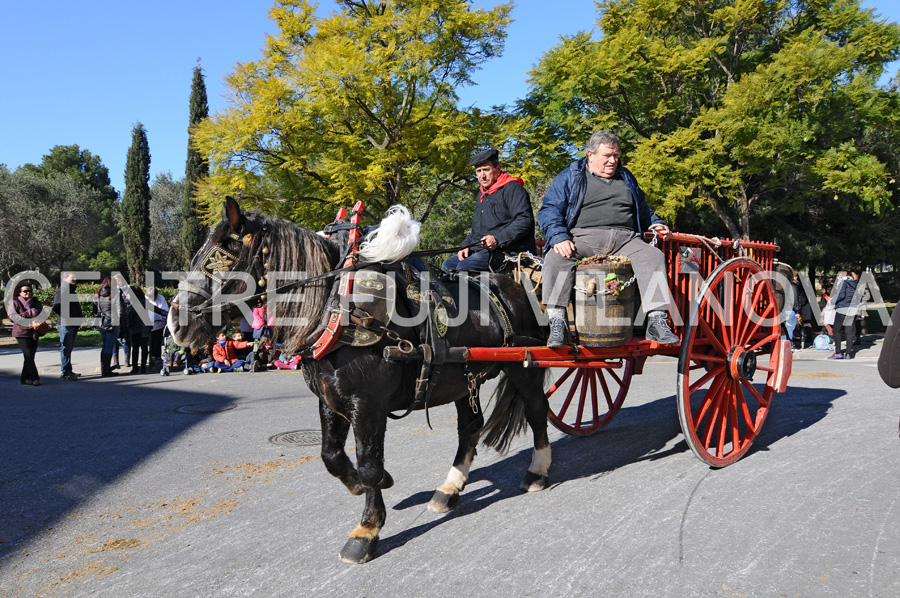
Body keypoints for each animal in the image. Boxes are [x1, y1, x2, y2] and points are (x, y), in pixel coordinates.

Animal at [167, 199, 548, 564]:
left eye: (219, 258)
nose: (175, 322)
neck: (335, 307)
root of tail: (513, 284)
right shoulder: (329, 397)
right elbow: (332, 455)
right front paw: (368, 486)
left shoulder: (367, 403)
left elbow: (368, 463)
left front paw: (366, 530)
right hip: (462, 378)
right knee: (470, 426)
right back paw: (449, 489)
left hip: (525, 365)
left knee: (536, 409)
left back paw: (538, 471)